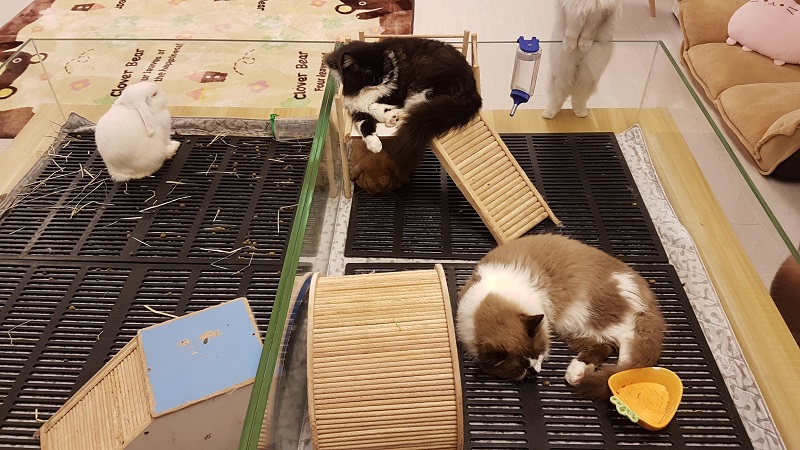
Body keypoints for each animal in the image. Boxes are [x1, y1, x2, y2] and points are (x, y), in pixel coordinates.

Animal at [324, 37, 482, 172]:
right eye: (369, 74)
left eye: (383, 70)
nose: (382, 79)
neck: (361, 91)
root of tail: (473, 88)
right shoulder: (355, 108)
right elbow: (364, 124)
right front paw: (375, 145)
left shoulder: (395, 94)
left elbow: (375, 106)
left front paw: (382, 115)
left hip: (425, 83)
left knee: (414, 107)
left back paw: (392, 117)